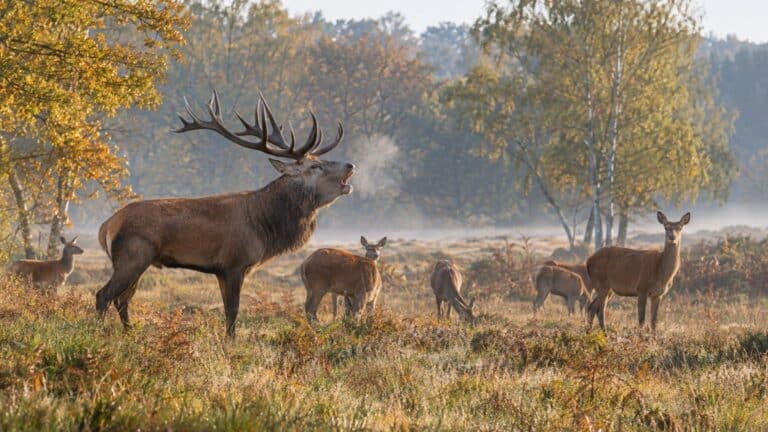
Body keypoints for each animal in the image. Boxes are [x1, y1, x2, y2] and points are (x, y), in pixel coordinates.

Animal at [96, 91, 353, 338]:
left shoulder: (221, 270)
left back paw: (131, 334)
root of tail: (106, 226)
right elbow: (233, 309)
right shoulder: (234, 263)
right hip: (132, 256)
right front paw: (231, 342)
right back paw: (98, 334)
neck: (266, 226)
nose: (350, 165)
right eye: (315, 167)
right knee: (104, 295)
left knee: (123, 299)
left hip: (141, 261)